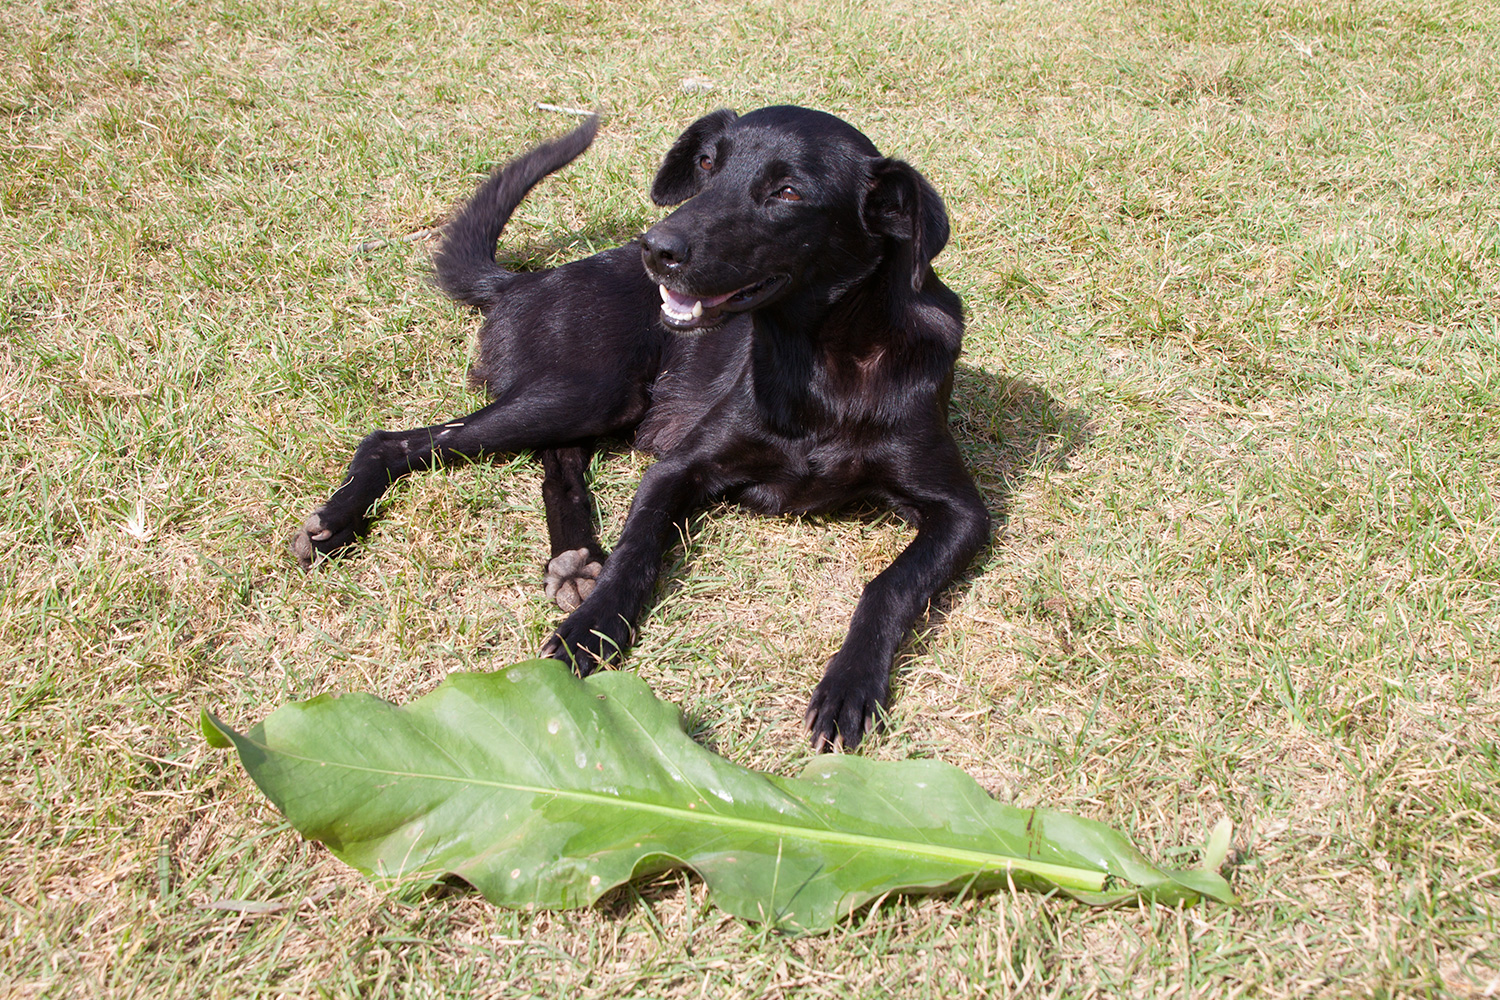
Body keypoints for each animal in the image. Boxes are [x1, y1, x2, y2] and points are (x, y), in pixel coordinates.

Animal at [291, 107, 990, 750]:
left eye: (788, 193)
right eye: (707, 165)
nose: (657, 248)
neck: (824, 362)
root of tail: (525, 280)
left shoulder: (963, 513)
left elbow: (889, 586)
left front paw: (850, 684)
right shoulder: (677, 467)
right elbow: (638, 548)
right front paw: (592, 629)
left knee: (553, 461)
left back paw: (572, 561)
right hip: (588, 390)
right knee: (396, 442)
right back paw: (336, 522)